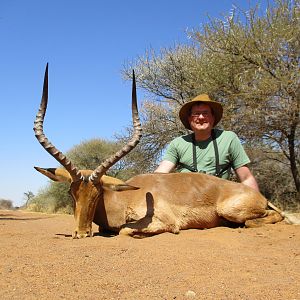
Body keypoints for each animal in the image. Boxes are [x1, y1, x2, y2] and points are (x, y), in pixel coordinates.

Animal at [34, 63, 284, 239]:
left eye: (97, 193)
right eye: (71, 193)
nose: (81, 233)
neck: (123, 197)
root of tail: (259, 196)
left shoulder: (163, 222)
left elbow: (125, 230)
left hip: (232, 211)